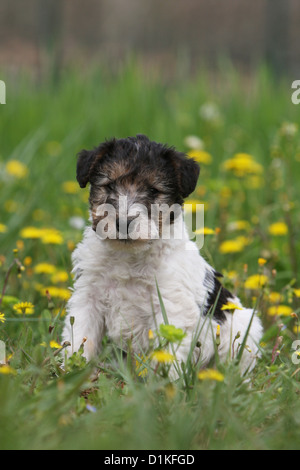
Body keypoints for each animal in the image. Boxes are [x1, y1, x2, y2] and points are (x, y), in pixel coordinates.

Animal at [62, 134, 262, 376]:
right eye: (109, 185)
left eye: (154, 191)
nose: (123, 222)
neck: (129, 256)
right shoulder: (87, 297)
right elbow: (80, 335)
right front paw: (70, 372)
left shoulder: (171, 306)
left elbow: (169, 350)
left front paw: (165, 383)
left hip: (243, 329)